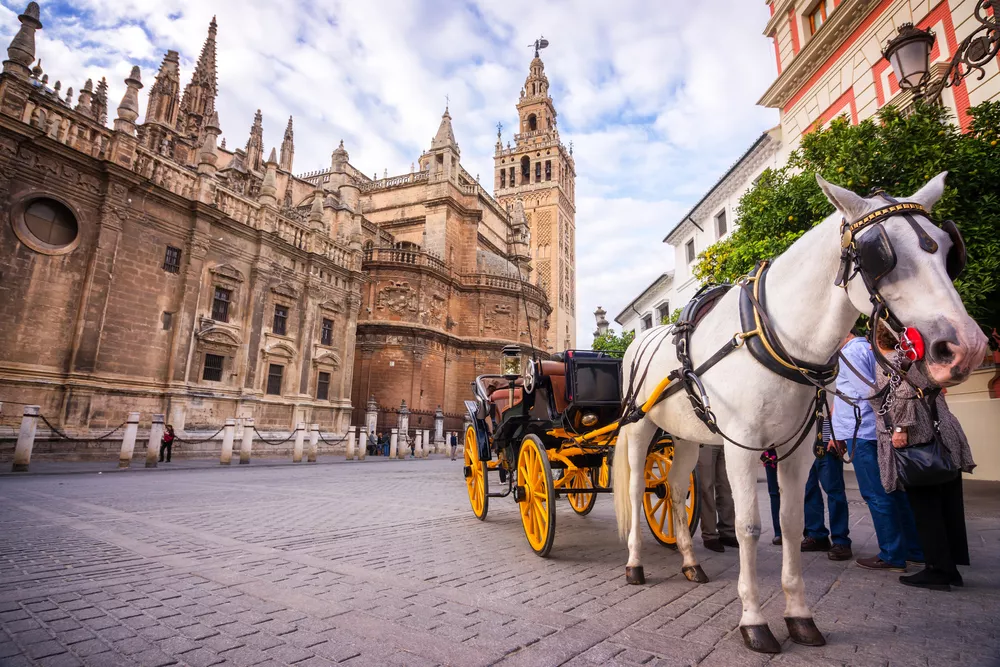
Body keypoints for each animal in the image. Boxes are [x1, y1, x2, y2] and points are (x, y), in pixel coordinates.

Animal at [612, 175, 988, 656]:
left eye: (945, 249)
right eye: (879, 253)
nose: (965, 347)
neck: (775, 338)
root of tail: (639, 343)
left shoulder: (798, 450)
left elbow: (791, 523)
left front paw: (798, 616)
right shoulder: (741, 447)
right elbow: (751, 526)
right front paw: (754, 620)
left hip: (688, 435)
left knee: (676, 490)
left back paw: (690, 561)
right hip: (640, 425)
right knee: (637, 487)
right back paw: (635, 564)